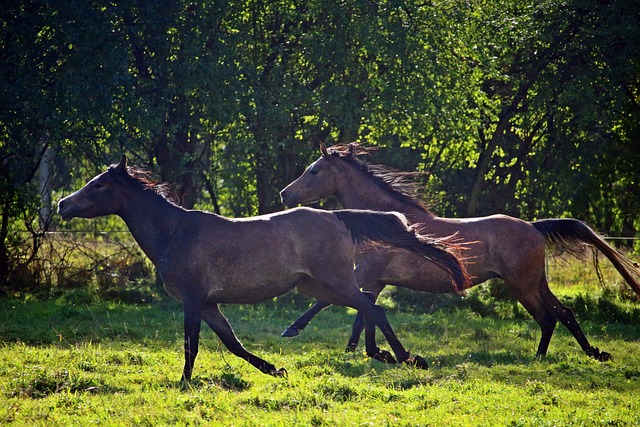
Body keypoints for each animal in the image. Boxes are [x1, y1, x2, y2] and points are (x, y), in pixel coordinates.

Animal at [57, 156, 470, 382]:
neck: (174, 232)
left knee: (374, 308)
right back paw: (378, 353)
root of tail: (337, 215)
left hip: (335, 282)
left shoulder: (191, 300)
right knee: (369, 305)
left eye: (97, 186)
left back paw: (407, 358)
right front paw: (274, 369)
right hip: (318, 287)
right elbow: (232, 343)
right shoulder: (208, 304)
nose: (62, 204)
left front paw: (184, 382)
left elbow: (192, 345)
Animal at [278, 144, 640, 362]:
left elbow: (332, 303)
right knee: (564, 312)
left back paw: (539, 357)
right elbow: (363, 315)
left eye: (314, 170)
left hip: (521, 285)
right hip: (536, 282)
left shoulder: (364, 274)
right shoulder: (374, 280)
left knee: (547, 317)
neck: (383, 222)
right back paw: (594, 352)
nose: (284, 194)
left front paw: (293, 329)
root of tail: (534, 227)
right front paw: (365, 352)